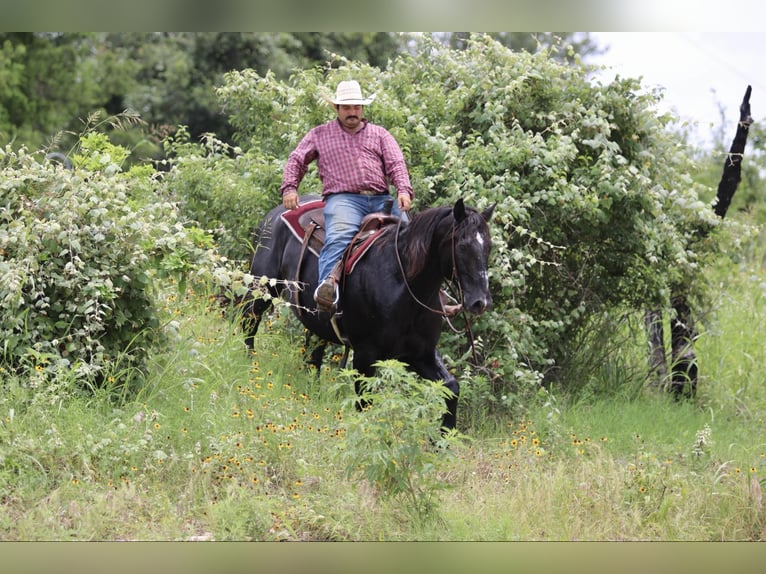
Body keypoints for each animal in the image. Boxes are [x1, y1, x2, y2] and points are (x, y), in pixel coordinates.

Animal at [238, 194, 494, 431]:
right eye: (462, 245)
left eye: (488, 247)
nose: (480, 302)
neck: (404, 285)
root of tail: (274, 214)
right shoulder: (365, 354)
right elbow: (365, 404)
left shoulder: (422, 354)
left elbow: (451, 388)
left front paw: (442, 439)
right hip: (261, 288)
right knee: (249, 324)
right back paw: (248, 367)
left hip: (316, 320)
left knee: (312, 356)